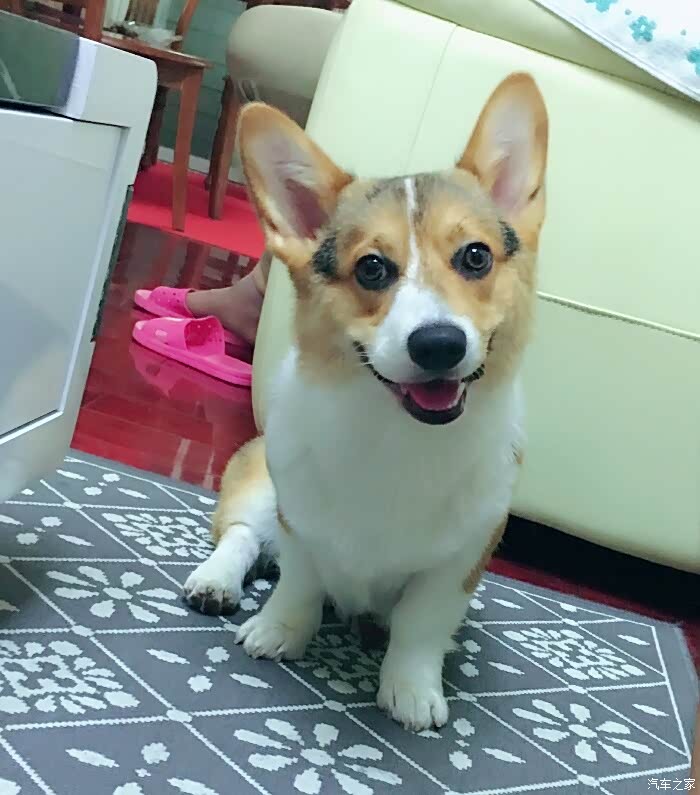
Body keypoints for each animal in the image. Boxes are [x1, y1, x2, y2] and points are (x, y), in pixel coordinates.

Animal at [184, 72, 549, 731]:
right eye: (372, 268)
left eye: (476, 256)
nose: (439, 343)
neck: (398, 435)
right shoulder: (299, 523)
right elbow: (298, 584)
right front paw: (280, 632)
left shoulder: (458, 563)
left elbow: (421, 629)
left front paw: (410, 691)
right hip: (257, 483)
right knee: (241, 536)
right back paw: (216, 582)